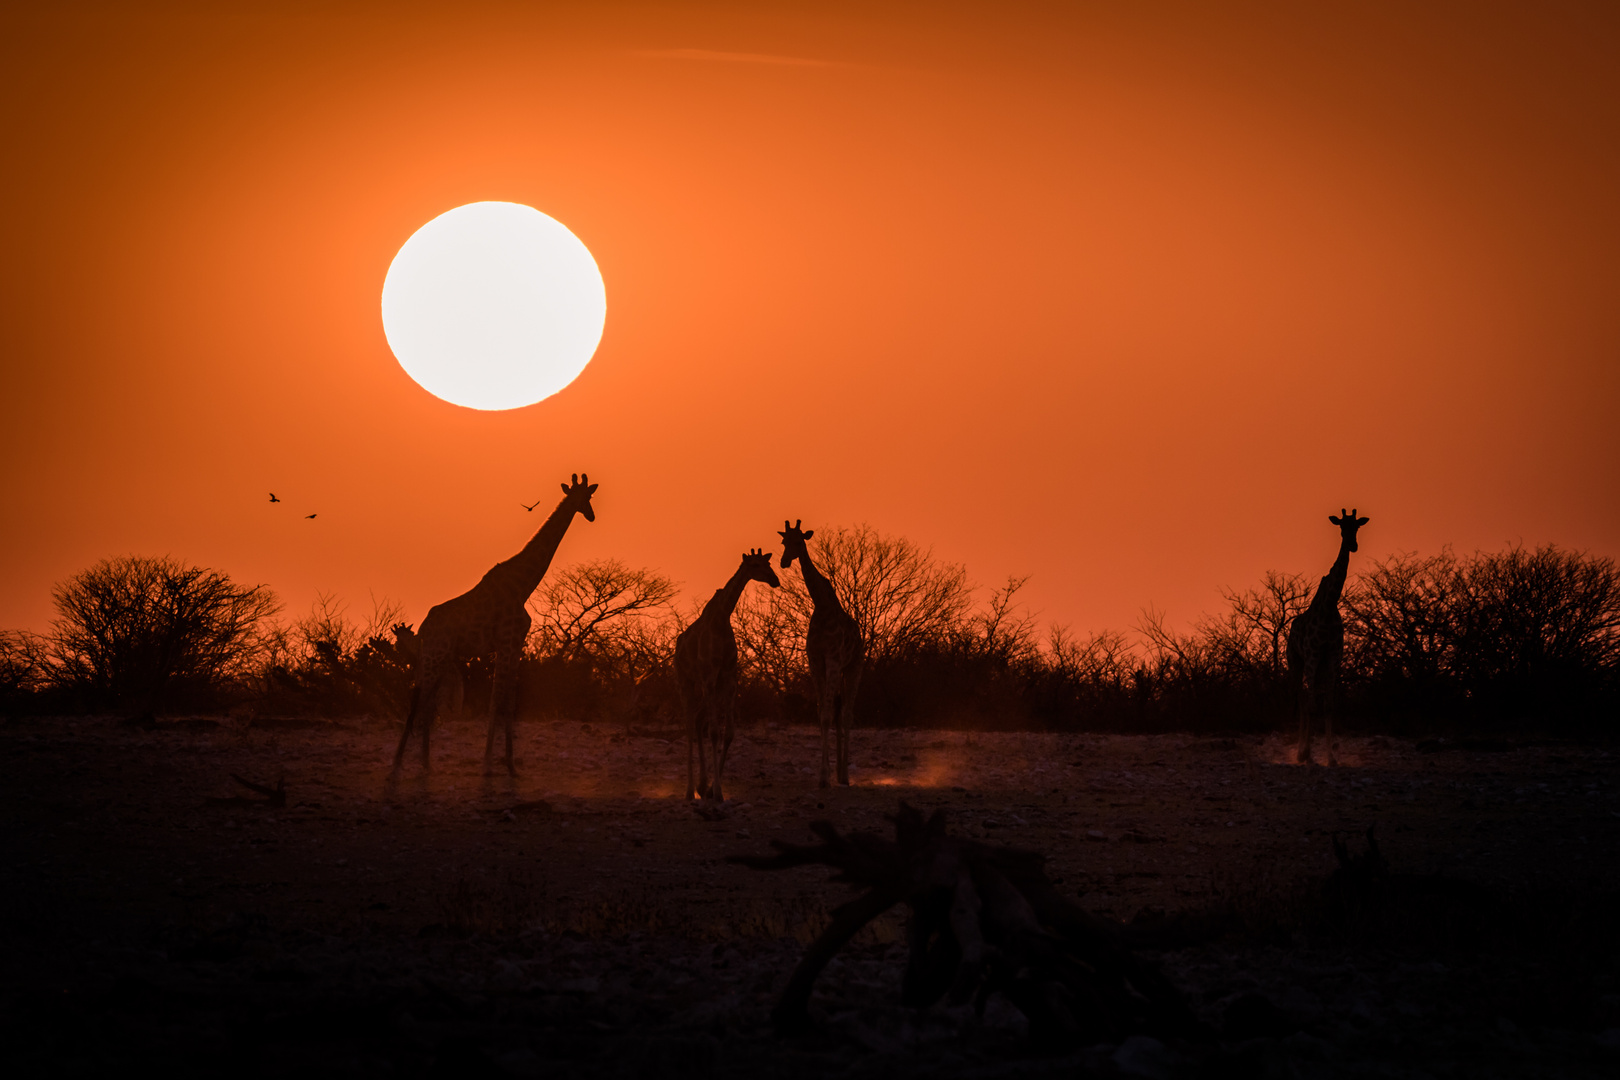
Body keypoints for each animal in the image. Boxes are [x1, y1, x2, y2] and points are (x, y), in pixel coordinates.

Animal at [388, 472, 599, 777]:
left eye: (590, 495)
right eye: (581, 497)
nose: (592, 516)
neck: (524, 586)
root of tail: (424, 627)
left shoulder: (515, 644)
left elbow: (507, 699)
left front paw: (509, 764)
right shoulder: (506, 642)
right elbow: (497, 698)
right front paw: (489, 761)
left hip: (441, 658)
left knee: (427, 703)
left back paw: (426, 763)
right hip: (434, 656)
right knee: (417, 698)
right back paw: (396, 763)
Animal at [673, 553, 780, 799]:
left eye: (769, 563)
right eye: (755, 565)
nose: (775, 580)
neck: (721, 619)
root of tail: (677, 646)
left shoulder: (730, 678)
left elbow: (728, 733)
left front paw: (713, 788)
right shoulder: (710, 676)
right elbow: (714, 732)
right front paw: (718, 791)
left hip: (709, 687)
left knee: (698, 720)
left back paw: (701, 786)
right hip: (686, 682)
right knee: (689, 725)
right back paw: (689, 790)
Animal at [780, 521, 868, 786]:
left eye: (799, 541)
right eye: (783, 541)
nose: (784, 562)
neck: (822, 607)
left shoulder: (833, 661)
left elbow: (829, 715)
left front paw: (823, 777)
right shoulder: (815, 662)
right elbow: (822, 714)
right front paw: (825, 774)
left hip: (854, 666)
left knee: (847, 714)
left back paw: (846, 776)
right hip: (841, 670)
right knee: (839, 712)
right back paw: (839, 773)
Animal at [1283, 508, 1373, 767]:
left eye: (1357, 526)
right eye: (1342, 526)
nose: (1353, 545)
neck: (1330, 604)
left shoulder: (1333, 657)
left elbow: (1329, 706)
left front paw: (1331, 759)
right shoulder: (1313, 655)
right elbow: (1313, 706)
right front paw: (1310, 756)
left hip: (1318, 665)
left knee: (1307, 699)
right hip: (1296, 661)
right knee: (1302, 698)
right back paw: (1301, 754)